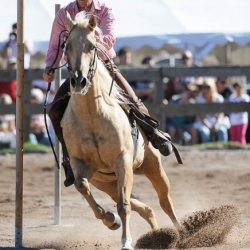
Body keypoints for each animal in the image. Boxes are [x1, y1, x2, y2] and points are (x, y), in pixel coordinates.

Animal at [61, 11, 181, 250]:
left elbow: (124, 205)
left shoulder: (122, 161)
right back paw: (156, 236)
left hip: (152, 167)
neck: (92, 116)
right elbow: (82, 186)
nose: (79, 80)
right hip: (106, 182)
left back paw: (182, 233)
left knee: (165, 202)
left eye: (92, 46)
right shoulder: (80, 165)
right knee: (145, 208)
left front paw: (125, 241)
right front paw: (110, 219)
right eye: (67, 45)